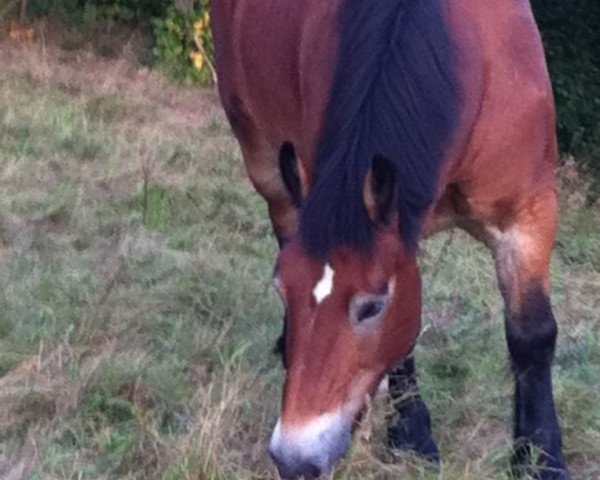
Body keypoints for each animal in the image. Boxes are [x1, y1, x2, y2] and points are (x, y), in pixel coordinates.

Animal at [213, 0, 568, 480]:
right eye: (281, 290)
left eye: (373, 306)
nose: (294, 459)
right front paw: (412, 436)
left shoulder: (529, 214)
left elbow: (531, 335)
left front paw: (542, 459)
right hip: (265, 164)